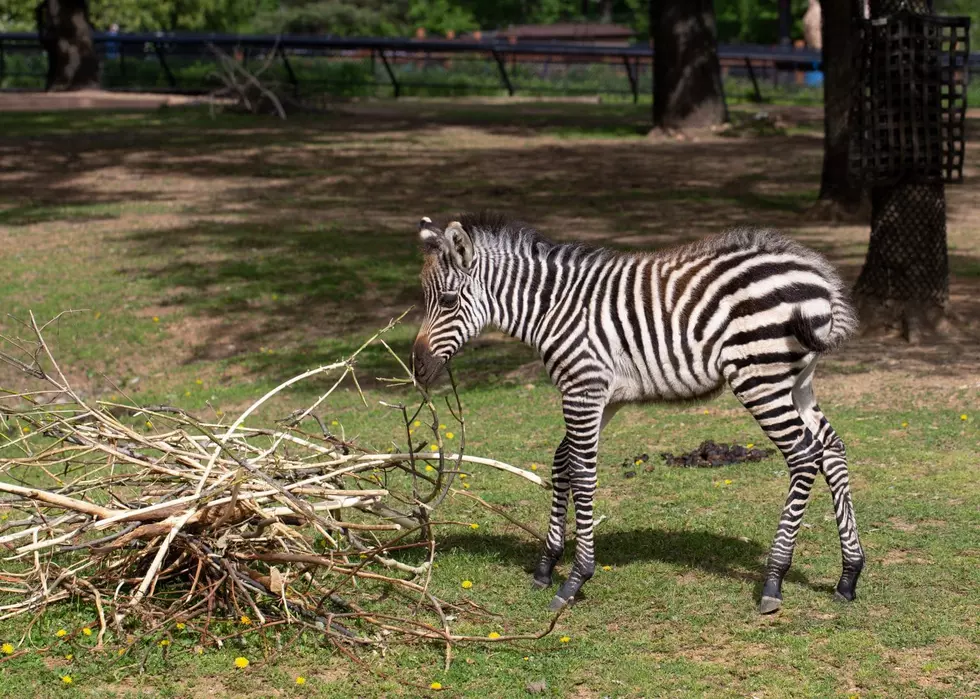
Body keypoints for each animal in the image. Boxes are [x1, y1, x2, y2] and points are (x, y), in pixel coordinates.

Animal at [412, 212, 864, 612]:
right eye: (426, 299)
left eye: (448, 300)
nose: (417, 368)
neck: (551, 308)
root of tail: (818, 276)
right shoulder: (604, 397)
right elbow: (561, 462)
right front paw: (545, 565)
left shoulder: (583, 387)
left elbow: (583, 473)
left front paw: (575, 579)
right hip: (797, 382)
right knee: (831, 449)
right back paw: (848, 575)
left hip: (760, 377)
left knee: (804, 455)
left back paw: (774, 579)